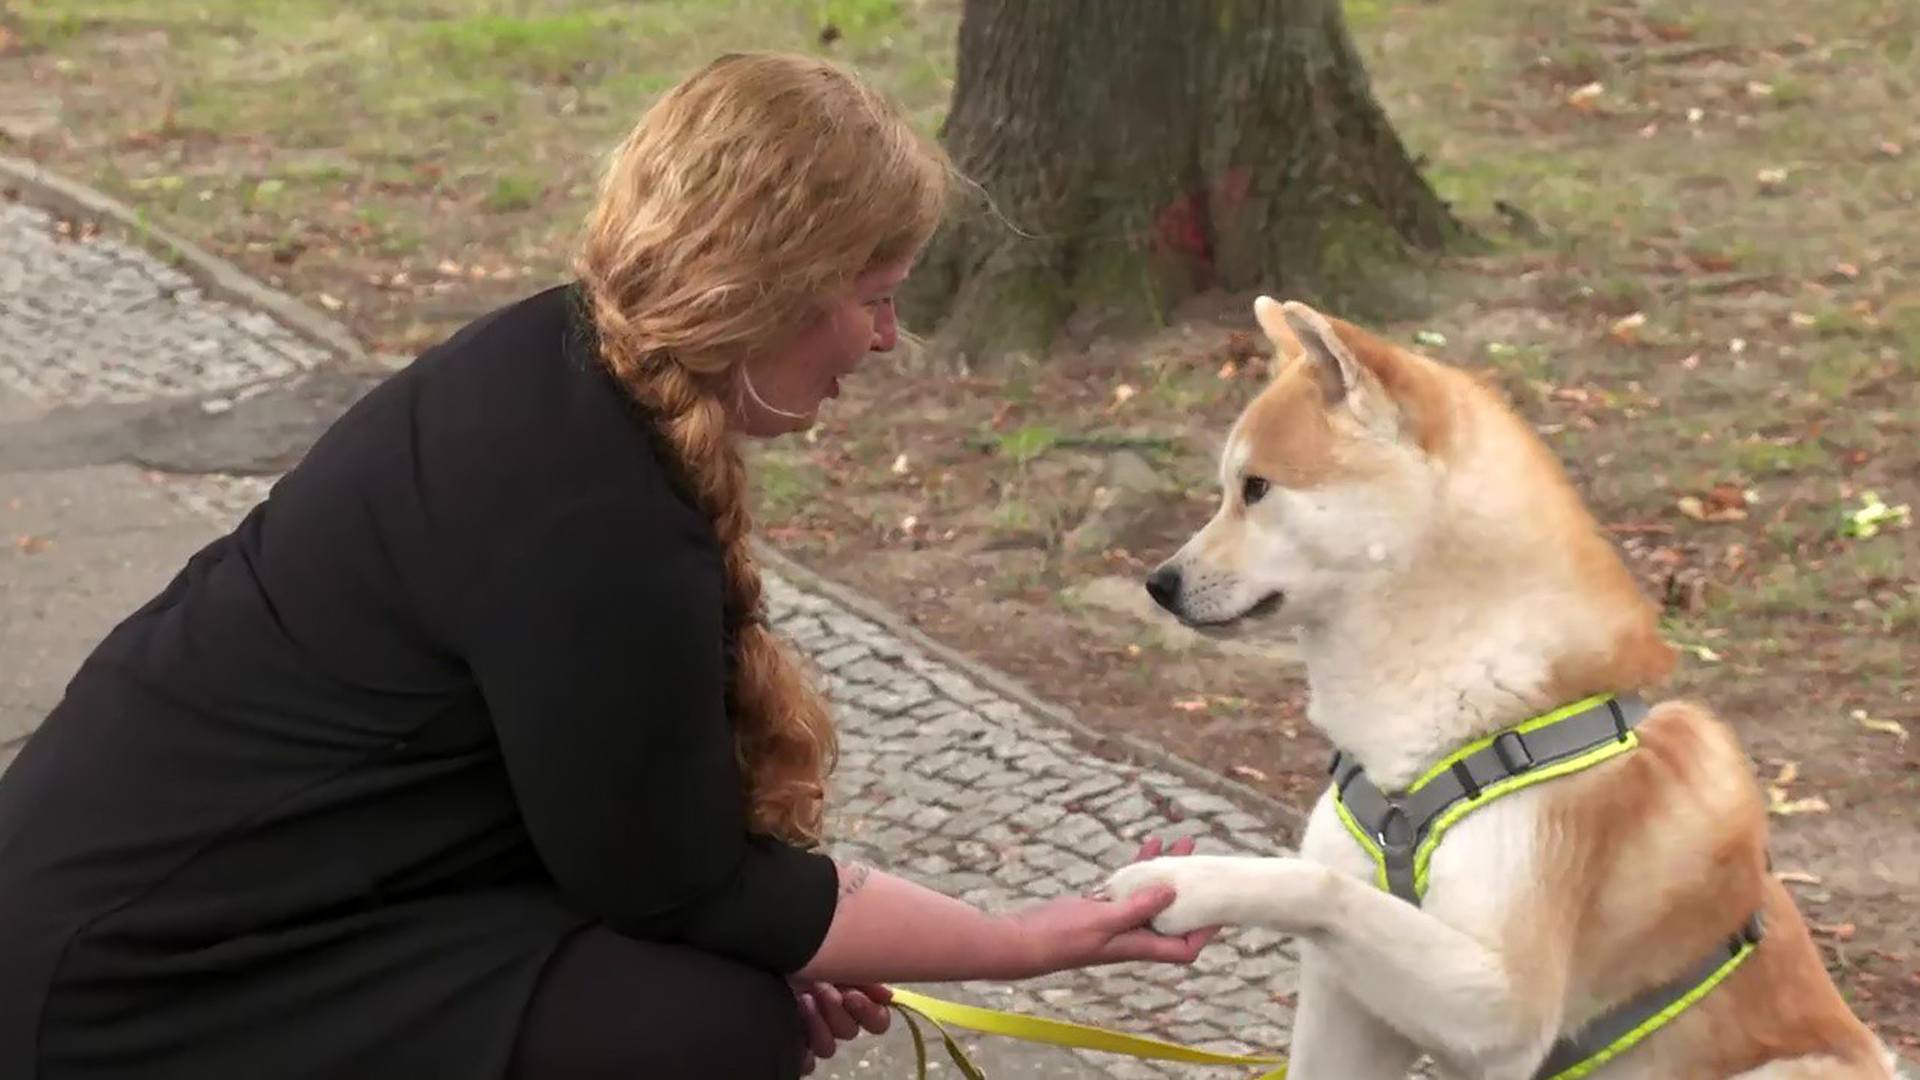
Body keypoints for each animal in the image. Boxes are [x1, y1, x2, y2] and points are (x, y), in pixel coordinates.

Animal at [1105, 297, 1881, 1076]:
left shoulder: (1503, 1003)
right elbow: (1335, 895)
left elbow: (1321, 886)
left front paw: (1190, 883)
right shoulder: (1349, 1002)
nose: (1158, 583)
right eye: (1228, 490)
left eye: (1256, 488)